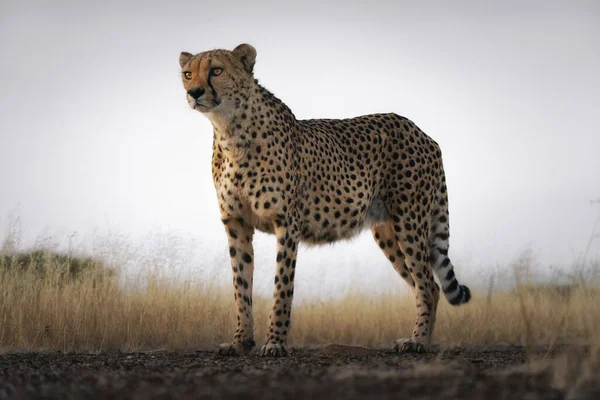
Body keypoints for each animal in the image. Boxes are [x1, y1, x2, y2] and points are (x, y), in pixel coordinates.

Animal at [180, 43, 472, 356]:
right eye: (188, 74)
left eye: (216, 70)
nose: (194, 92)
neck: (230, 131)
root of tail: (421, 131)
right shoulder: (236, 223)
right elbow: (241, 285)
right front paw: (240, 341)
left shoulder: (287, 223)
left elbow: (282, 286)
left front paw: (275, 342)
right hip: (387, 231)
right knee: (427, 285)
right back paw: (420, 339)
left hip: (409, 222)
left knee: (428, 284)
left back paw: (417, 341)